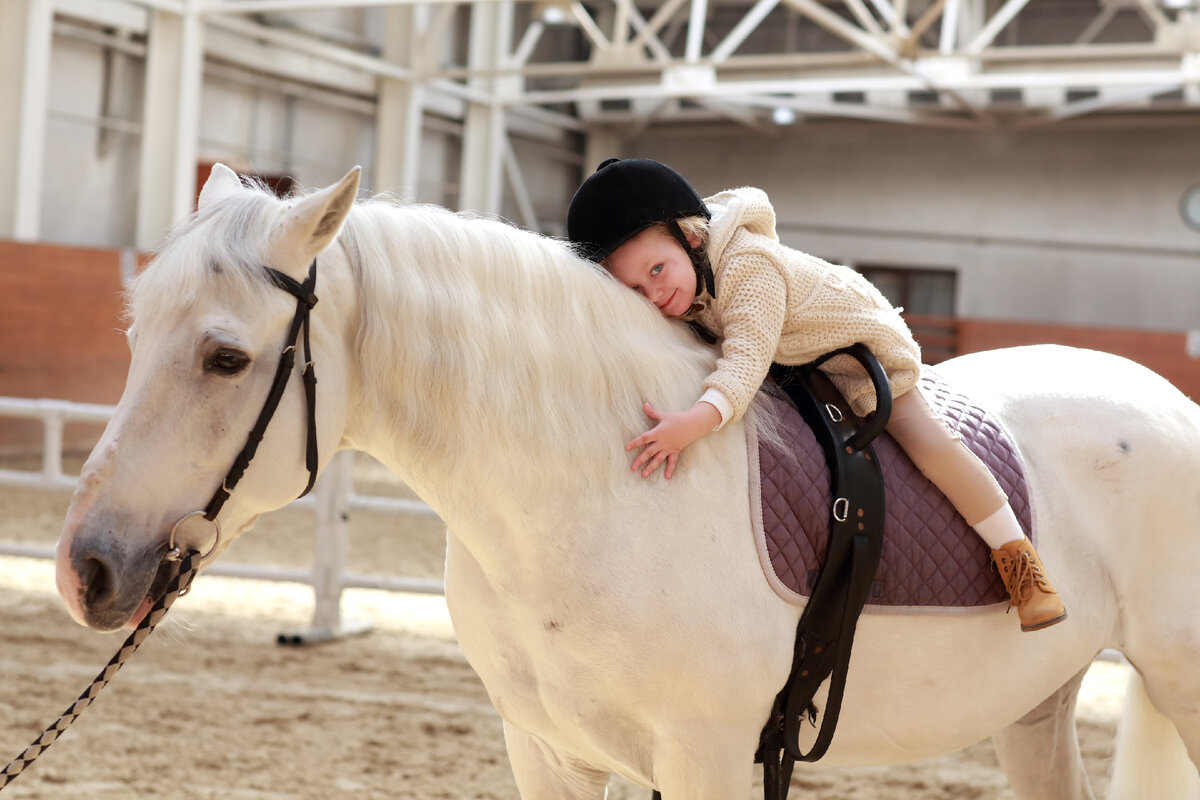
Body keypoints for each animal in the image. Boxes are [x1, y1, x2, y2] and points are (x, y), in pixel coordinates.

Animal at [54, 165, 1200, 796]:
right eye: (133, 334)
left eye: (226, 357)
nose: (84, 571)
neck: (592, 494)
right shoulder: (549, 755)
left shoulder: (706, 762)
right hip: (1037, 711)